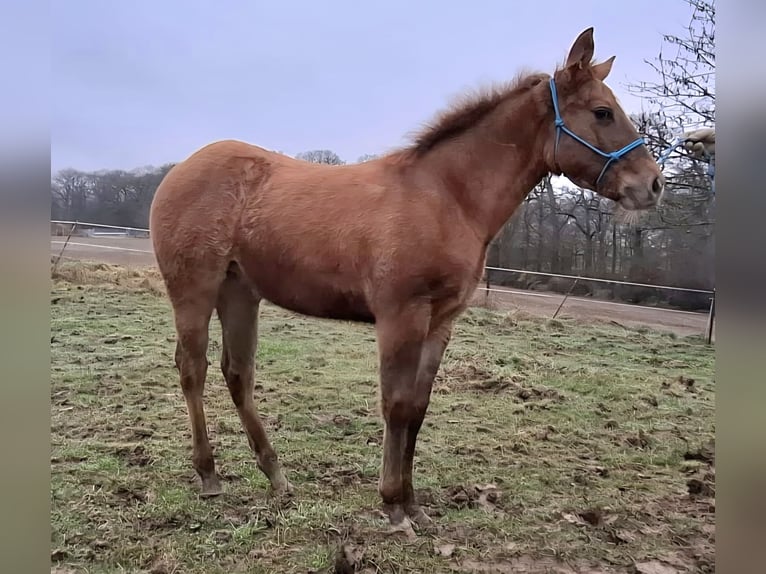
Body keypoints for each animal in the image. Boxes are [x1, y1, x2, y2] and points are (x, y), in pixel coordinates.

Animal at [149, 27, 665, 534]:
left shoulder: (440, 321)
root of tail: (180, 170)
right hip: (194, 289)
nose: (653, 185)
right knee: (192, 369)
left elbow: (417, 408)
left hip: (240, 291)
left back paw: (277, 476)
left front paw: (415, 504)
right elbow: (395, 405)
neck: (445, 196)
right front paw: (393, 507)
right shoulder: (402, 315)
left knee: (238, 373)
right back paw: (209, 476)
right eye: (602, 112)